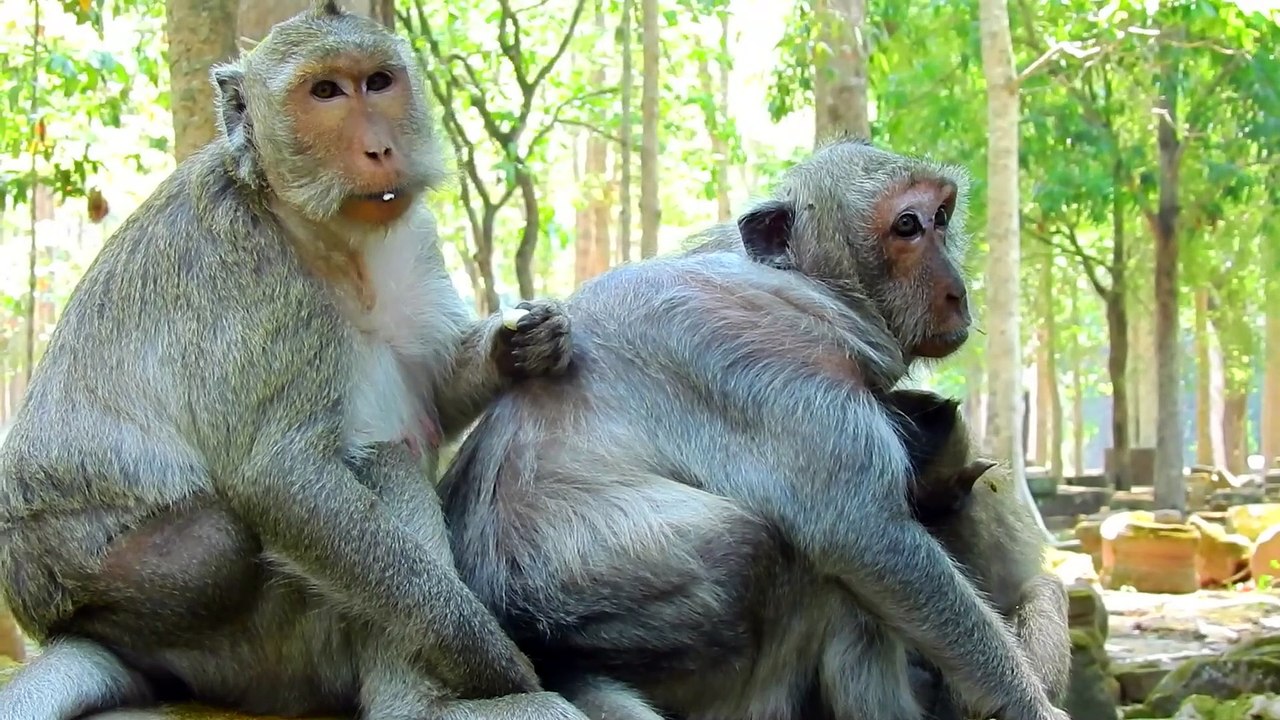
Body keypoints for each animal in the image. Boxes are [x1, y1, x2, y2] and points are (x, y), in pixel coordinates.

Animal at [0, 3, 586, 719]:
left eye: (378, 82)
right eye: (325, 92)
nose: (379, 148)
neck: (322, 230)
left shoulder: (411, 238)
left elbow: (435, 391)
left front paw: (525, 343)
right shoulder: (253, 278)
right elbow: (279, 477)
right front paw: (496, 660)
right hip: (236, 633)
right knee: (361, 471)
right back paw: (427, 705)